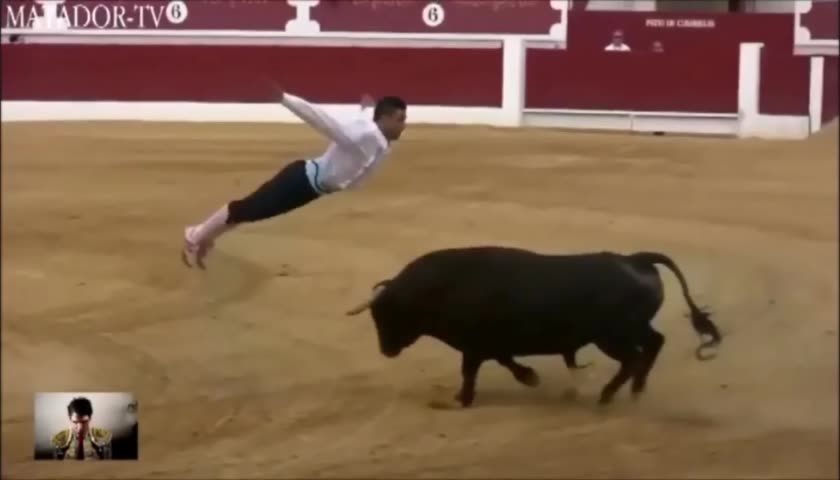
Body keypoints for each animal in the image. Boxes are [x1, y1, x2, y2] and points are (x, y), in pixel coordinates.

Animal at [346, 246, 722, 408]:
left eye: (386, 316)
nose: (386, 350)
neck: (441, 287)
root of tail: (634, 259)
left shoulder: (474, 346)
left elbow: (471, 371)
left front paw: (464, 399)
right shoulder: (490, 345)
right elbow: (506, 361)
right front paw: (529, 377)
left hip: (612, 335)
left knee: (633, 357)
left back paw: (607, 394)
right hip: (631, 329)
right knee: (655, 343)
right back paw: (636, 389)